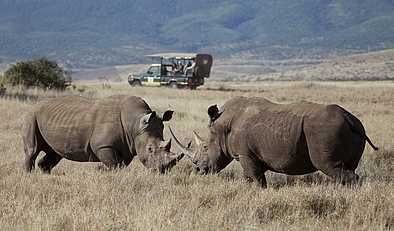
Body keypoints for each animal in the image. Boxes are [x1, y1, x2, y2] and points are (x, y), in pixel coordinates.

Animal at [23, 94, 184, 173]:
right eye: (150, 149)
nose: (162, 171)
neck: (135, 124)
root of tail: (34, 105)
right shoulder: (103, 146)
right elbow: (114, 165)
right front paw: (103, 171)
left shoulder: (128, 147)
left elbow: (121, 165)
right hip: (32, 115)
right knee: (32, 150)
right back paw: (29, 175)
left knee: (55, 153)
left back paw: (45, 173)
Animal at [170, 96, 378, 187]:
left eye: (205, 147)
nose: (198, 170)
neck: (222, 127)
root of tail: (350, 119)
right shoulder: (253, 156)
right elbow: (253, 177)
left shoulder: (245, 154)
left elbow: (255, 179)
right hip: (355, 128)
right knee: (347, 168)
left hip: (324, 130)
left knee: (329, 165)